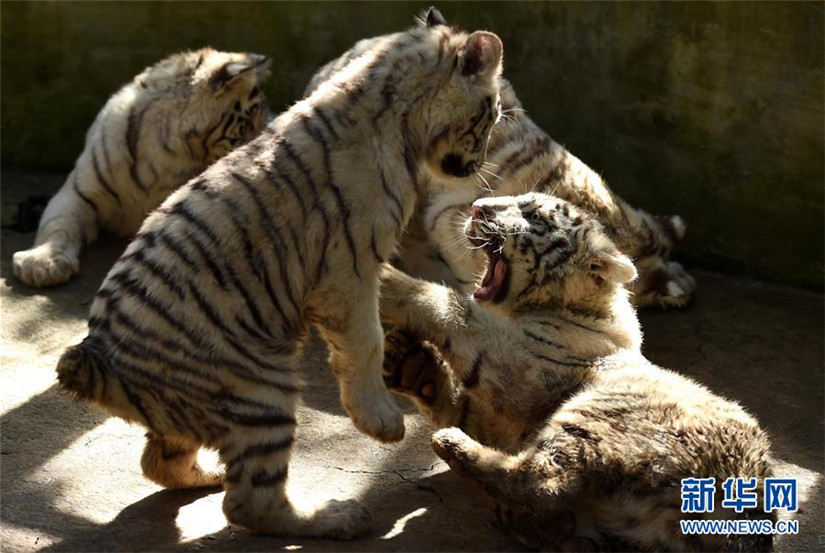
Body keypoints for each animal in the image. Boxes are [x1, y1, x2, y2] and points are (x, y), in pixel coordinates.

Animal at [13, 47, 271, 288]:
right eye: (249, 122)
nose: (260, 151)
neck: (168, 155)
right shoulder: (80, 193)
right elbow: (57, 224)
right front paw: (42, 263)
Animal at [55, 14, 504, 539]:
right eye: (491, 114)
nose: (477, 166)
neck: (391, 106)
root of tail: (100, 362)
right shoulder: (347, 268)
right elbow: (366, 341)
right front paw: (381, 422)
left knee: (160, 461)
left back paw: (207, 476)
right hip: (259, 390)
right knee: (248, 504)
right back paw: (337, 517)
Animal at [379, 192, 773, 552]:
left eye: (533, 215)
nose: (476, 207)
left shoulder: (519, 363)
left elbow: (451, 307)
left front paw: (385, 278)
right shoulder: (502, 417)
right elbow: (455, 401)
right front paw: (407, 364)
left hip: (596, 411)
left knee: (541, 483)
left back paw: (453, 446)